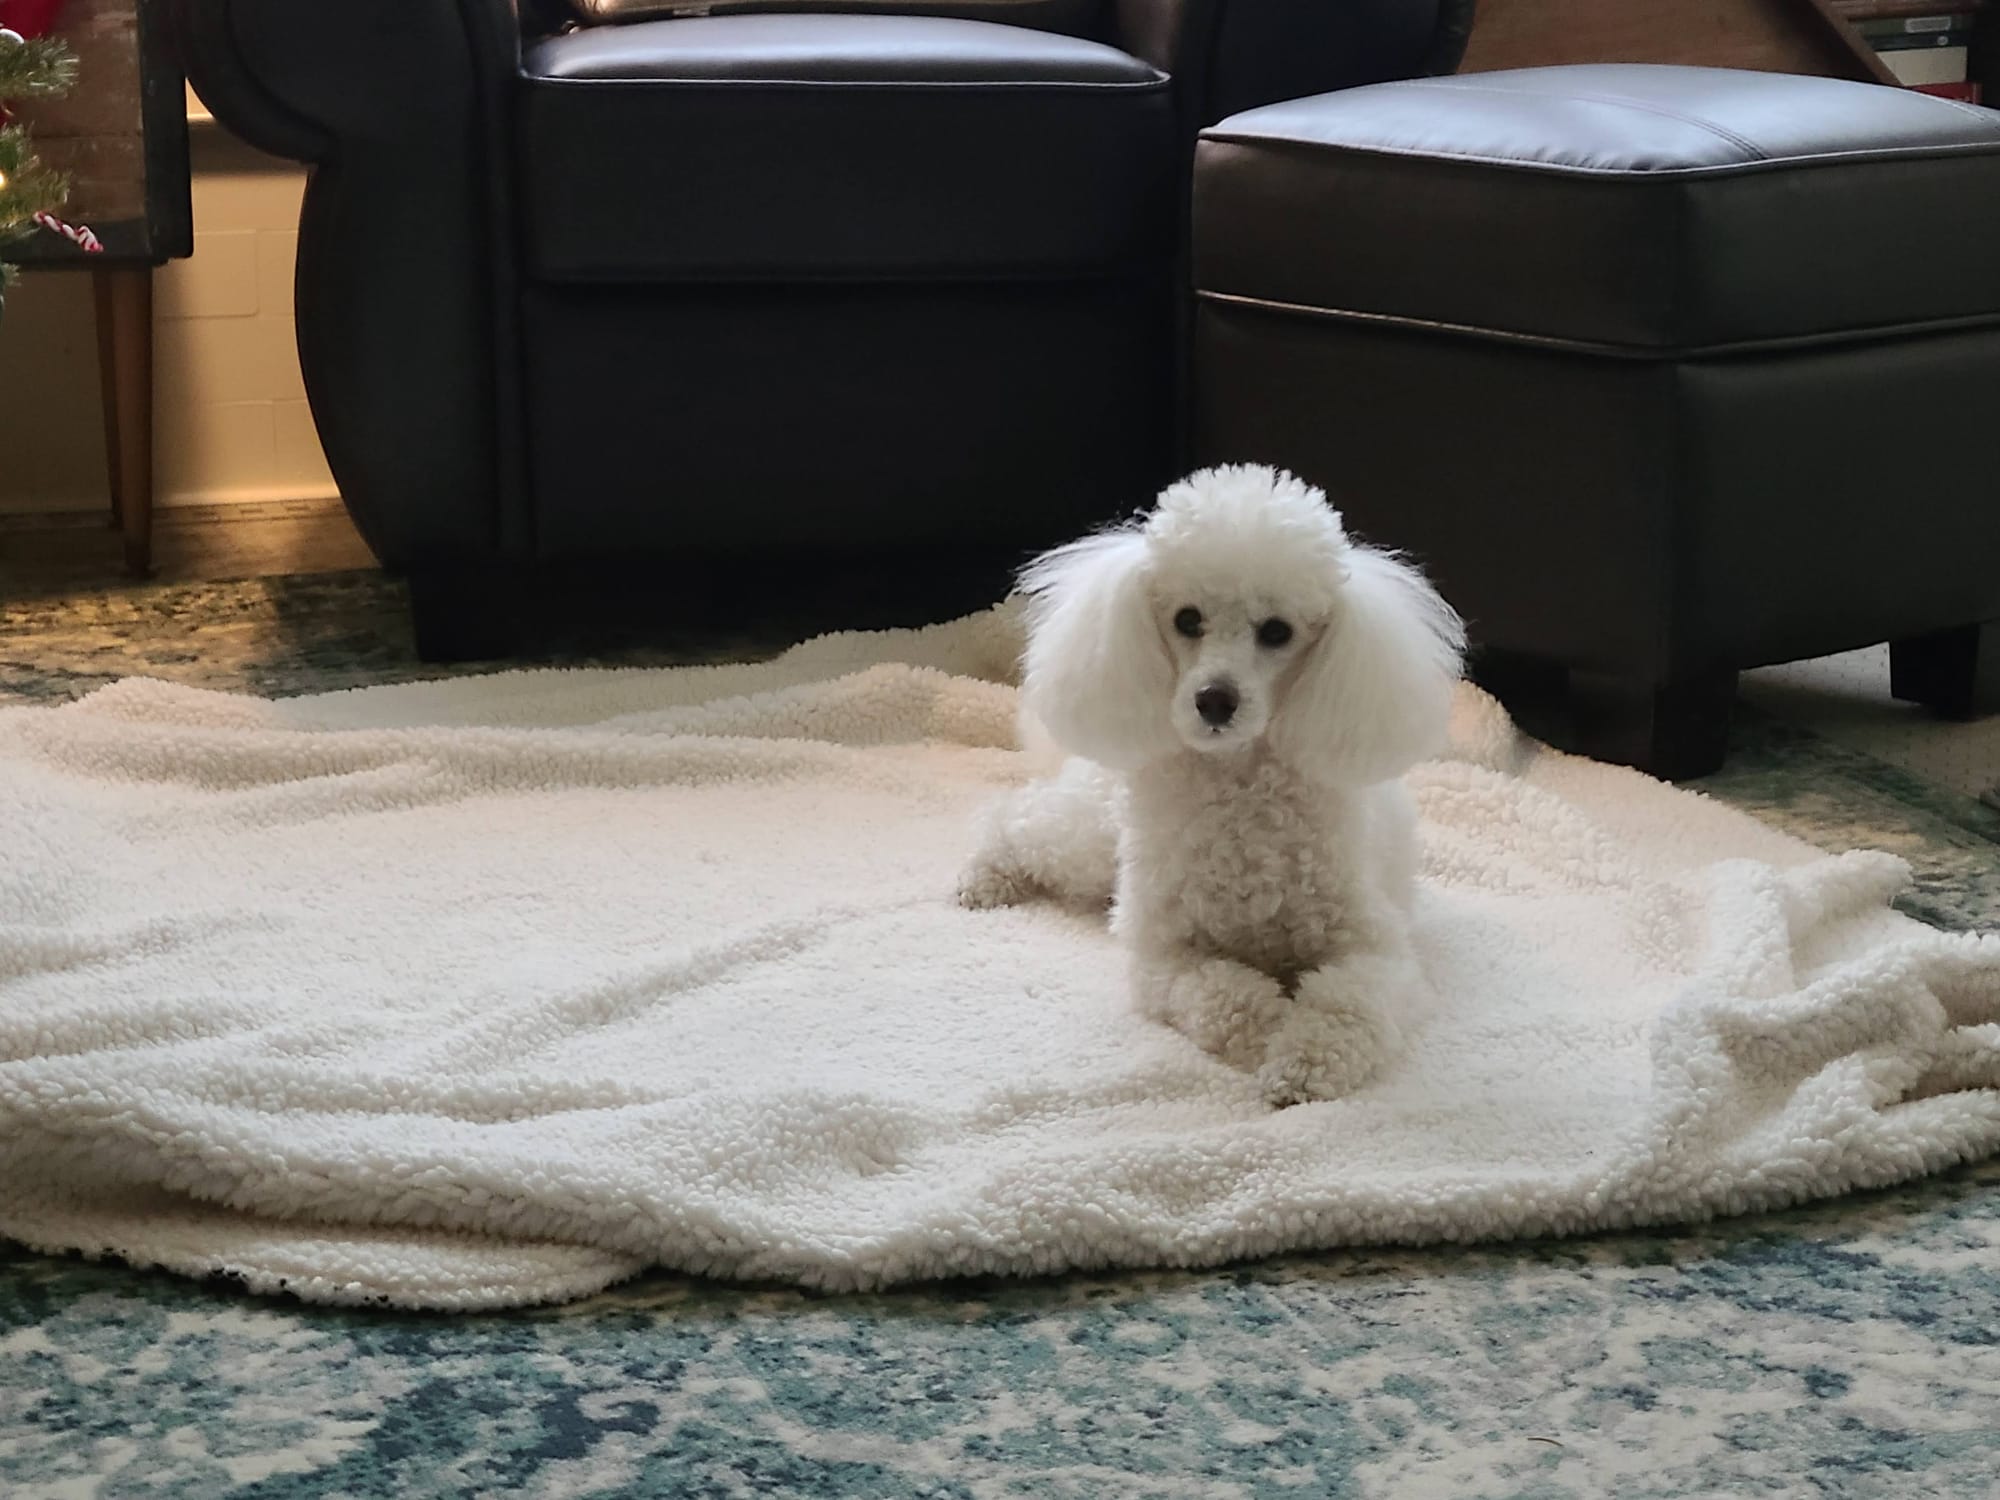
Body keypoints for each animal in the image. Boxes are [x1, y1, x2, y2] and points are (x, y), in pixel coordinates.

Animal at [960, 465, 1465, 1105]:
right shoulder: (1164, 953)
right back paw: (983, 879)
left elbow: (1348, 1005)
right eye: (1186, 619)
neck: (1239, 788)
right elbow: (1222, 994)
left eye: (1276, 631)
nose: (1214, 700)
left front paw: (1302, 1062)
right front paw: (1270, 1031)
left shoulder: (1375, 947)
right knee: (1016, 817)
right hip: (1090, 841)